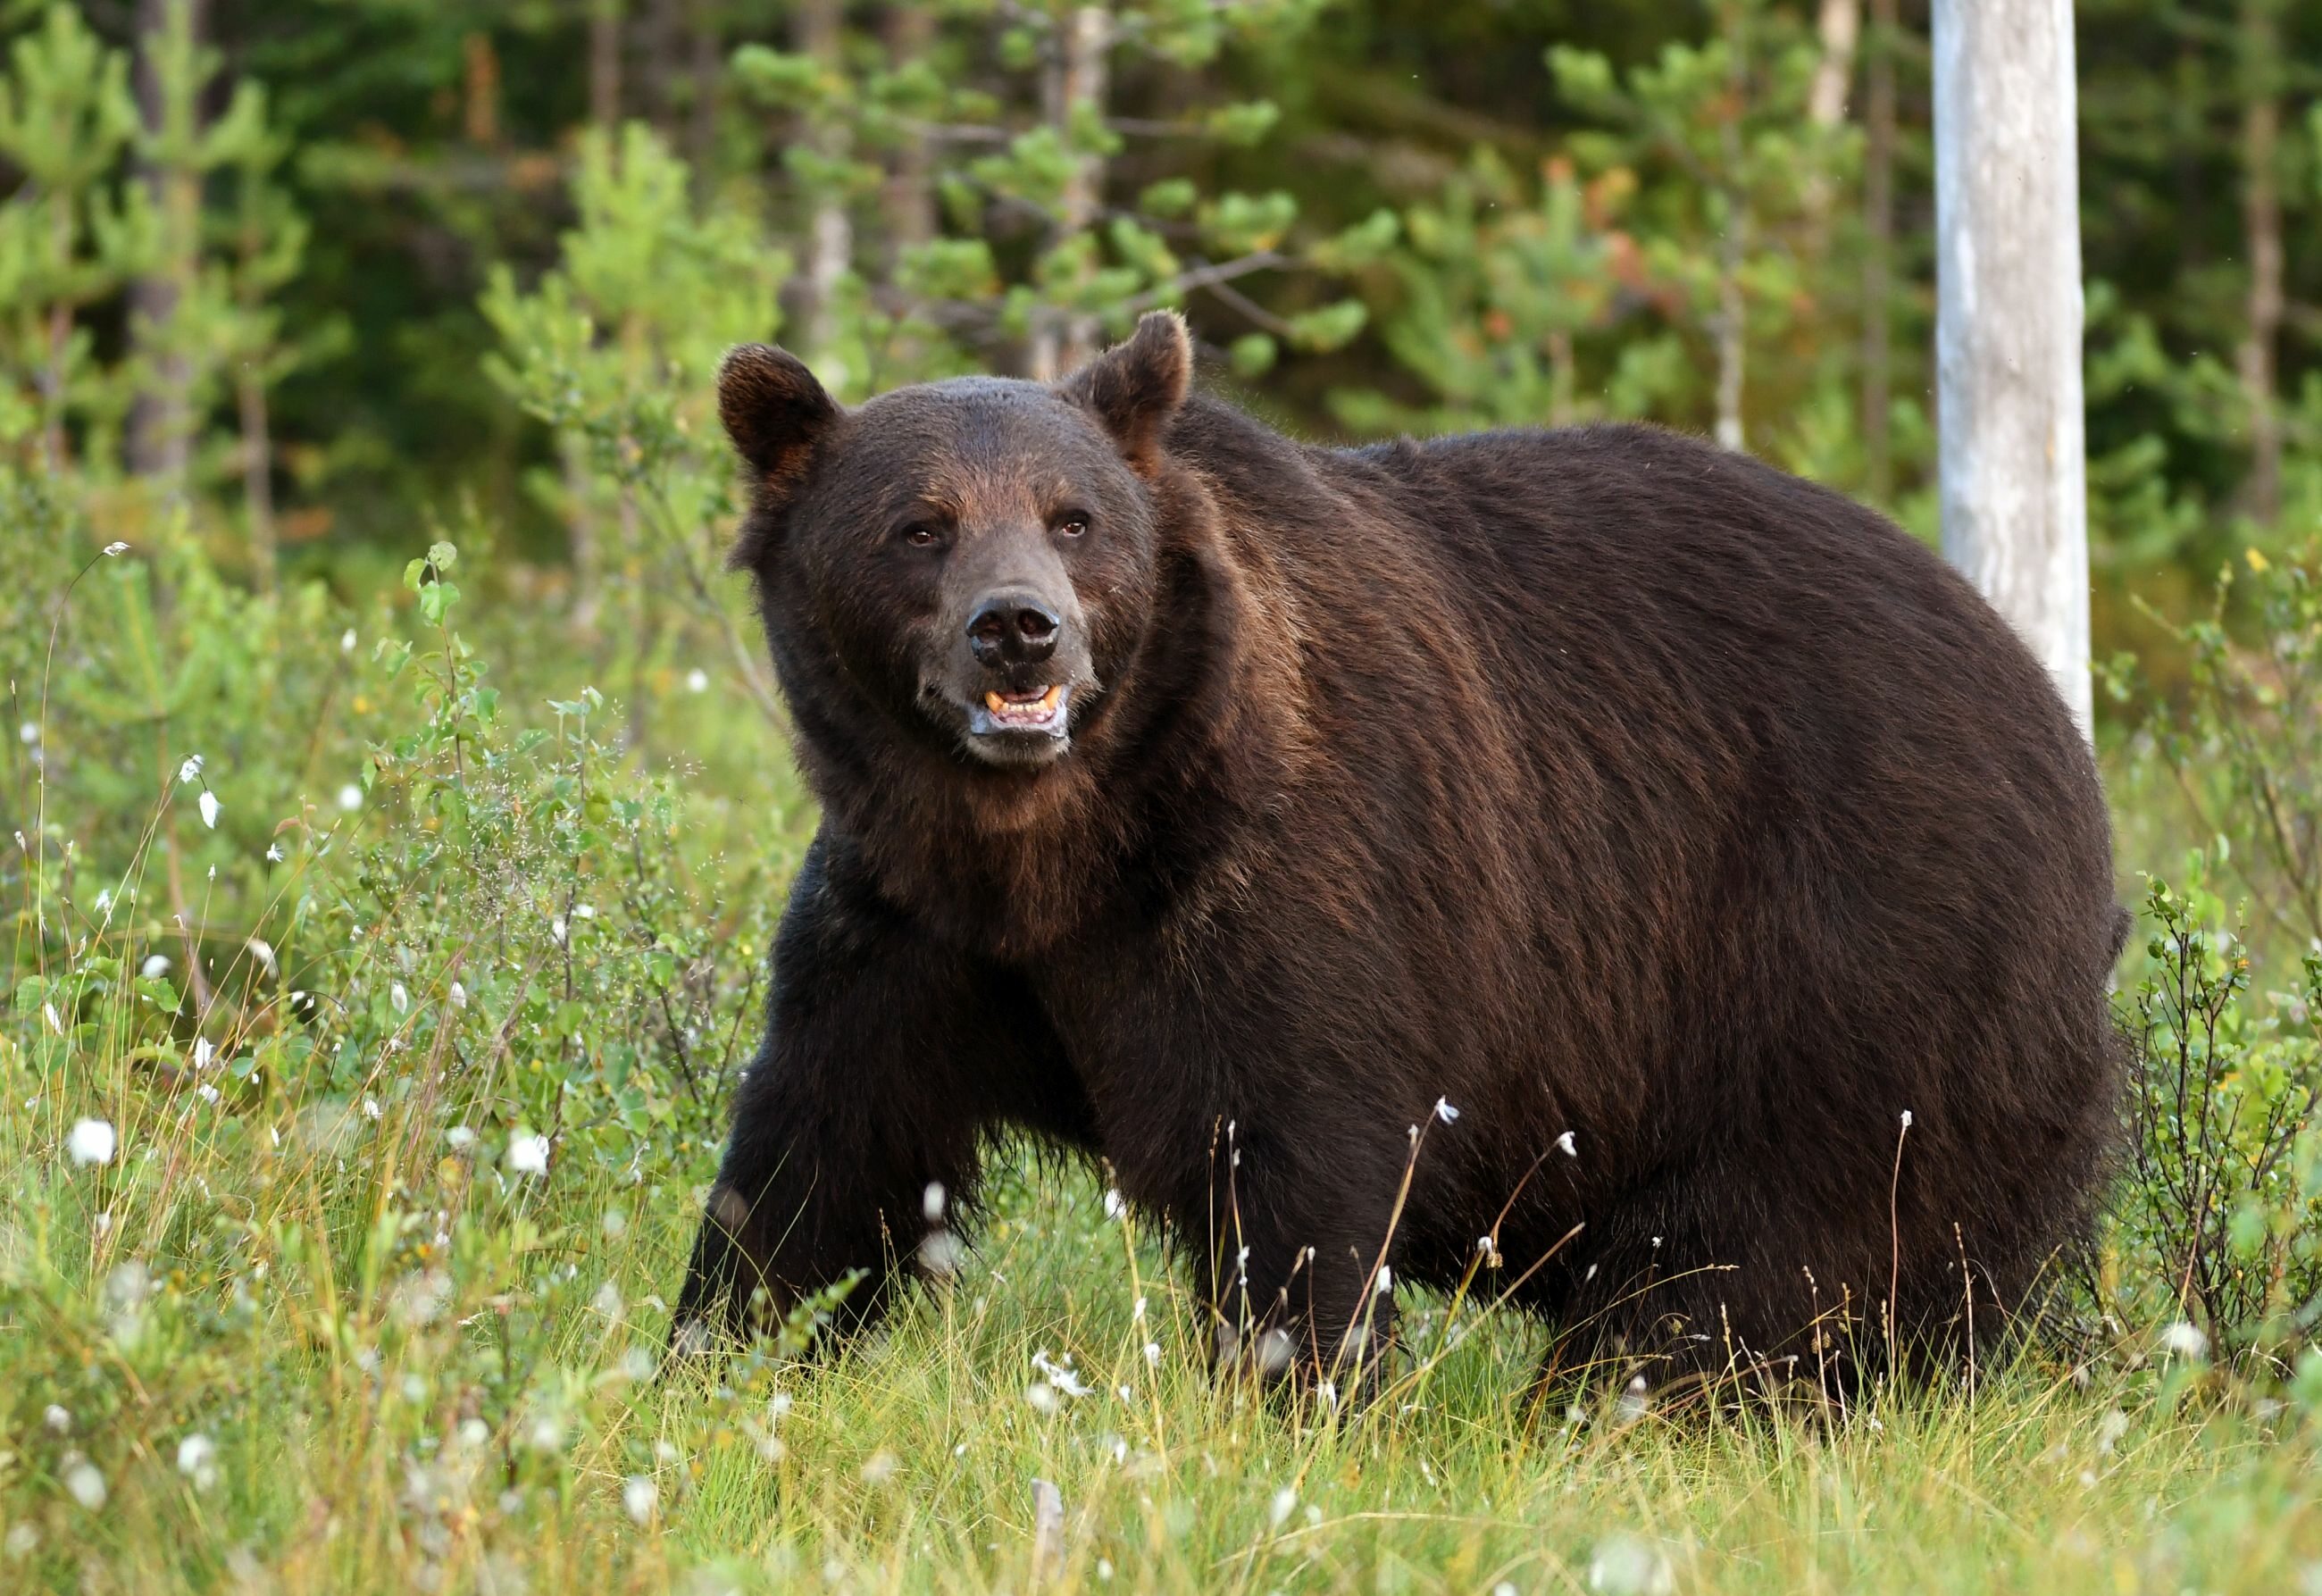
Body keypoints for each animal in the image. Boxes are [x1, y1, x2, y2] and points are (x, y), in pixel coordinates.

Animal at [668, 308, 2126, 1384]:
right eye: (919, 523)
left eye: (1072, 516)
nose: (1020, 629)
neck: (1056, 849)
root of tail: (2061, 732)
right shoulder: (911, 924)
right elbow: (822, 1151)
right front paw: (711, 1352)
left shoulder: (1295, 889)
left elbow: (1296, 1167)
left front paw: (1300, 1391)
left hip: (1850, 988)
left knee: (1739, 1280)